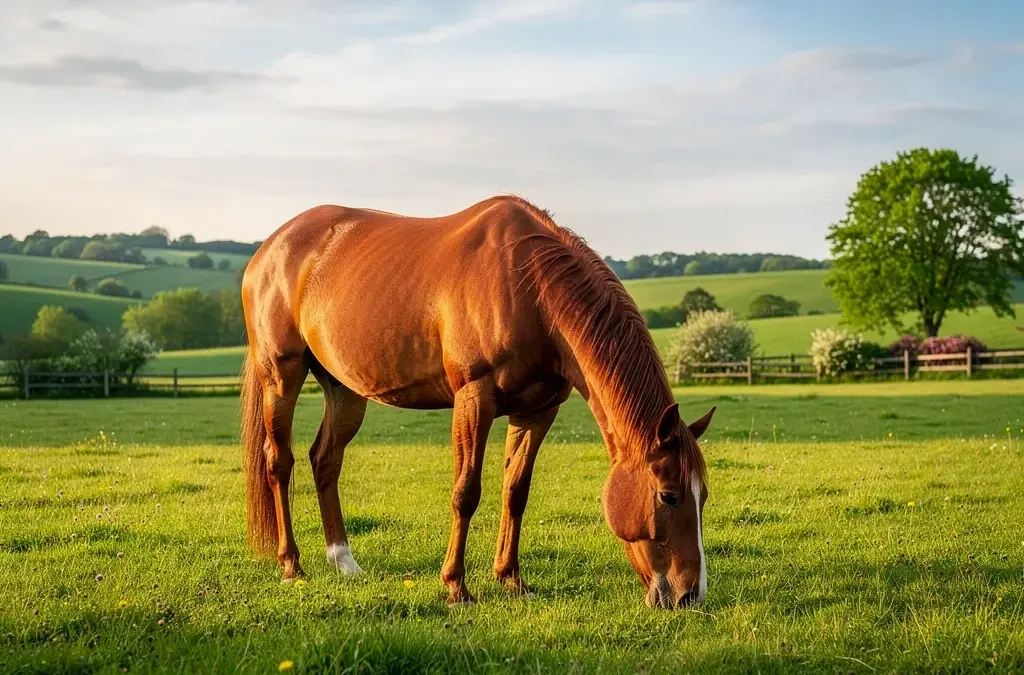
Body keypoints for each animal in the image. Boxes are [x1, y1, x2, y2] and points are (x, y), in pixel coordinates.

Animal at [239, 195, 715, 608]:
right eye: (669, 496)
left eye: (703, 496)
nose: (690, 595)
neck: (529, 286)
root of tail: (269, 249)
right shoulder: (474, 398)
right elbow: (466, 492)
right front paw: (456, 586)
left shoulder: (536, 412)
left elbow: (516, 491)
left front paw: (512, 578)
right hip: (281, 376)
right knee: (279, 462)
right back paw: (292, 565)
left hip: (344, 390)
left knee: (325, 460)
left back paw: (344, 561)